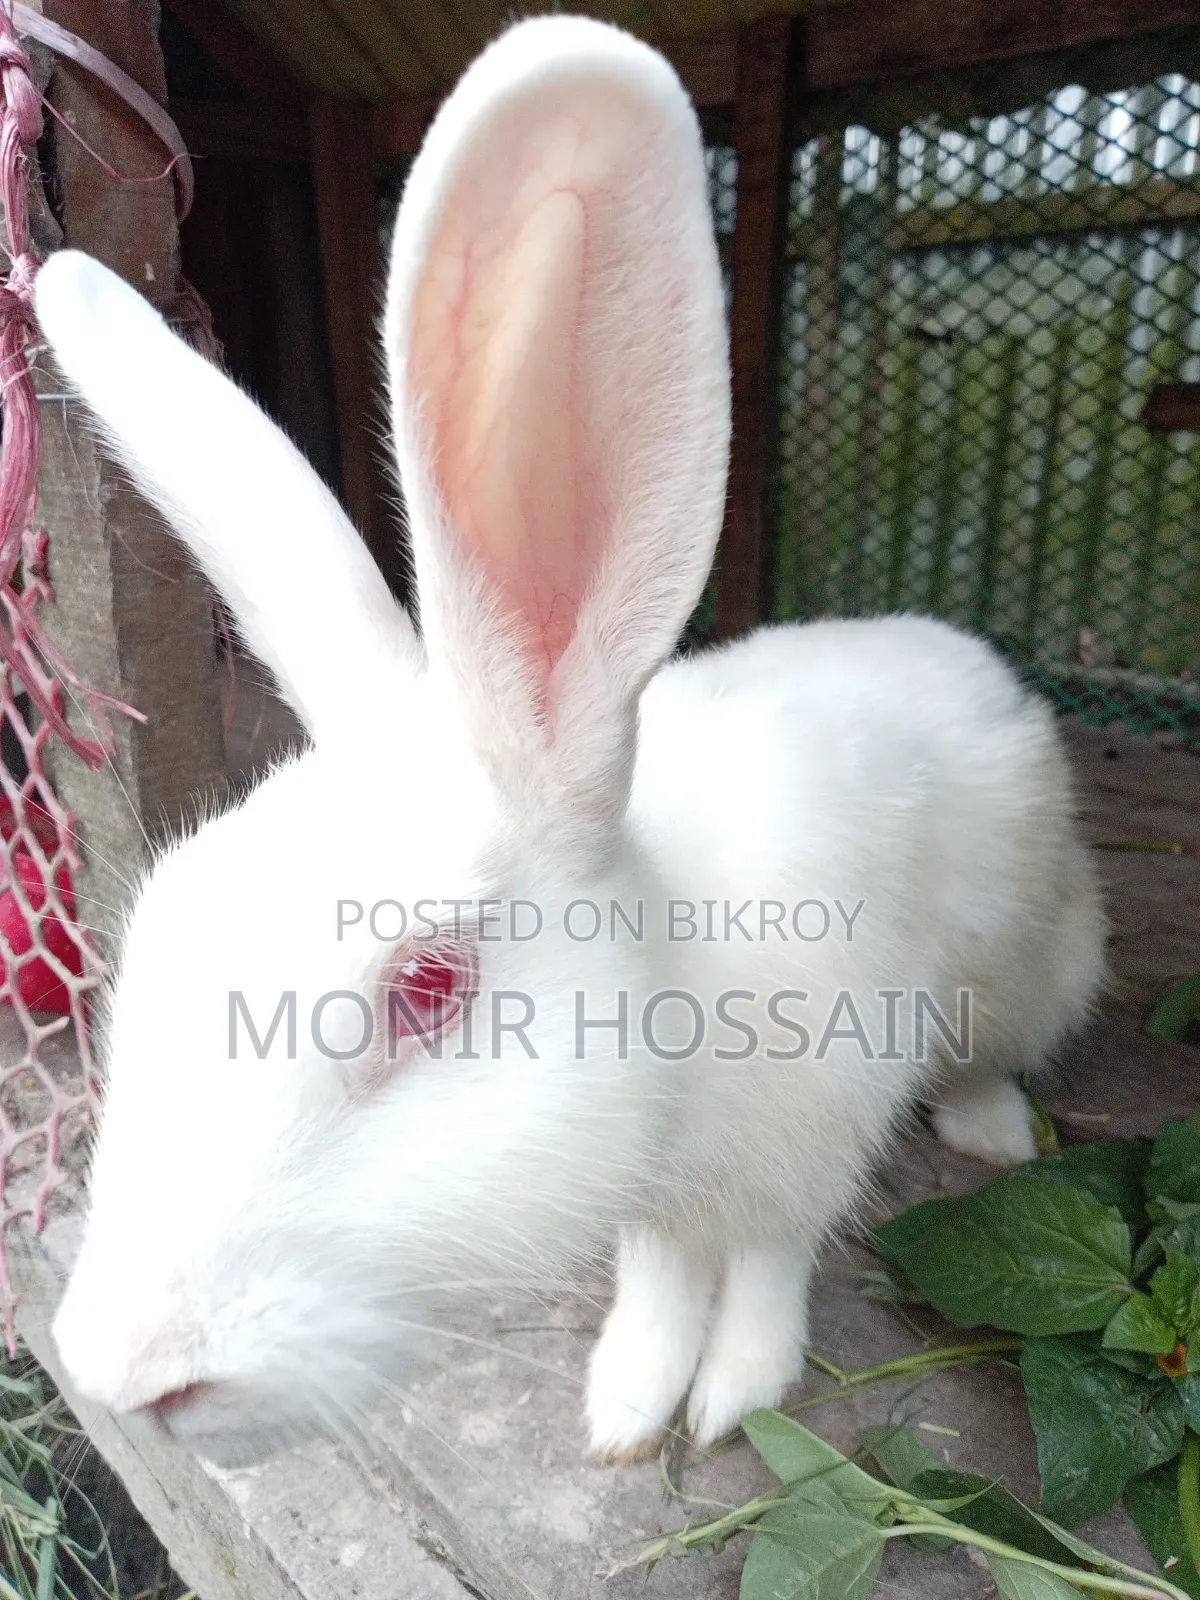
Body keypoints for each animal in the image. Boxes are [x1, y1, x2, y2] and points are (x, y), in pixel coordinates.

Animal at [36, 14, 1105, 1470]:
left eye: (431, 985)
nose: (126, 1376)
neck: (682, 972)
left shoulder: (809, 1143)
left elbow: (768, 1268)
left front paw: (735, 1395)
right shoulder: (654, 1203)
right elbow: (659, 1277)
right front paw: (630, 1407)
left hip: (1030, 957)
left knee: (1005, 1041)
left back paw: (996, 1133)